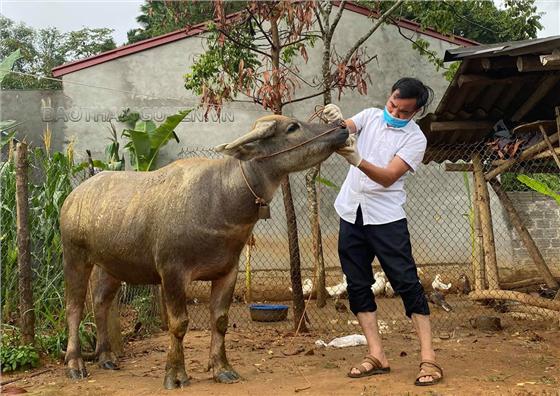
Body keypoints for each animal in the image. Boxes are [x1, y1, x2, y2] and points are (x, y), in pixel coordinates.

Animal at [62, 114, 350, 386]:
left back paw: (106, 358)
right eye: (292, 127)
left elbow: (220, 321)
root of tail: (72, 197)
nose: (341, 127)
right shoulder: (172, 272)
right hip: (75, 256)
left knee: (100, 303)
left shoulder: (227, 272)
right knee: (74, 307)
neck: (220, 198)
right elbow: (179, 324)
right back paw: (75, 364)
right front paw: (175, 374)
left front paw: (222, 369)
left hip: (111, 266)